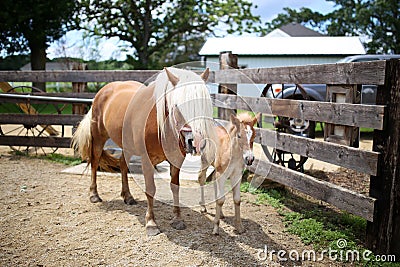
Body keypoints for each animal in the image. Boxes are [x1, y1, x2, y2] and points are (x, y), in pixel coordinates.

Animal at [72, 68, 216, 238]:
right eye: (177, 106)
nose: (195, 142)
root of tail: (103, 91)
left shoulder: (176, 160)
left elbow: (175, 187)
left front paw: (177, 219)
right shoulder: (147, 160)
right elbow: (151, 190)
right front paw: (151, 223)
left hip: (126, 145)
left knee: (122, 165)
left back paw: (128, 196)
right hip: (98, 138)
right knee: (94, 163)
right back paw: (94, 195)